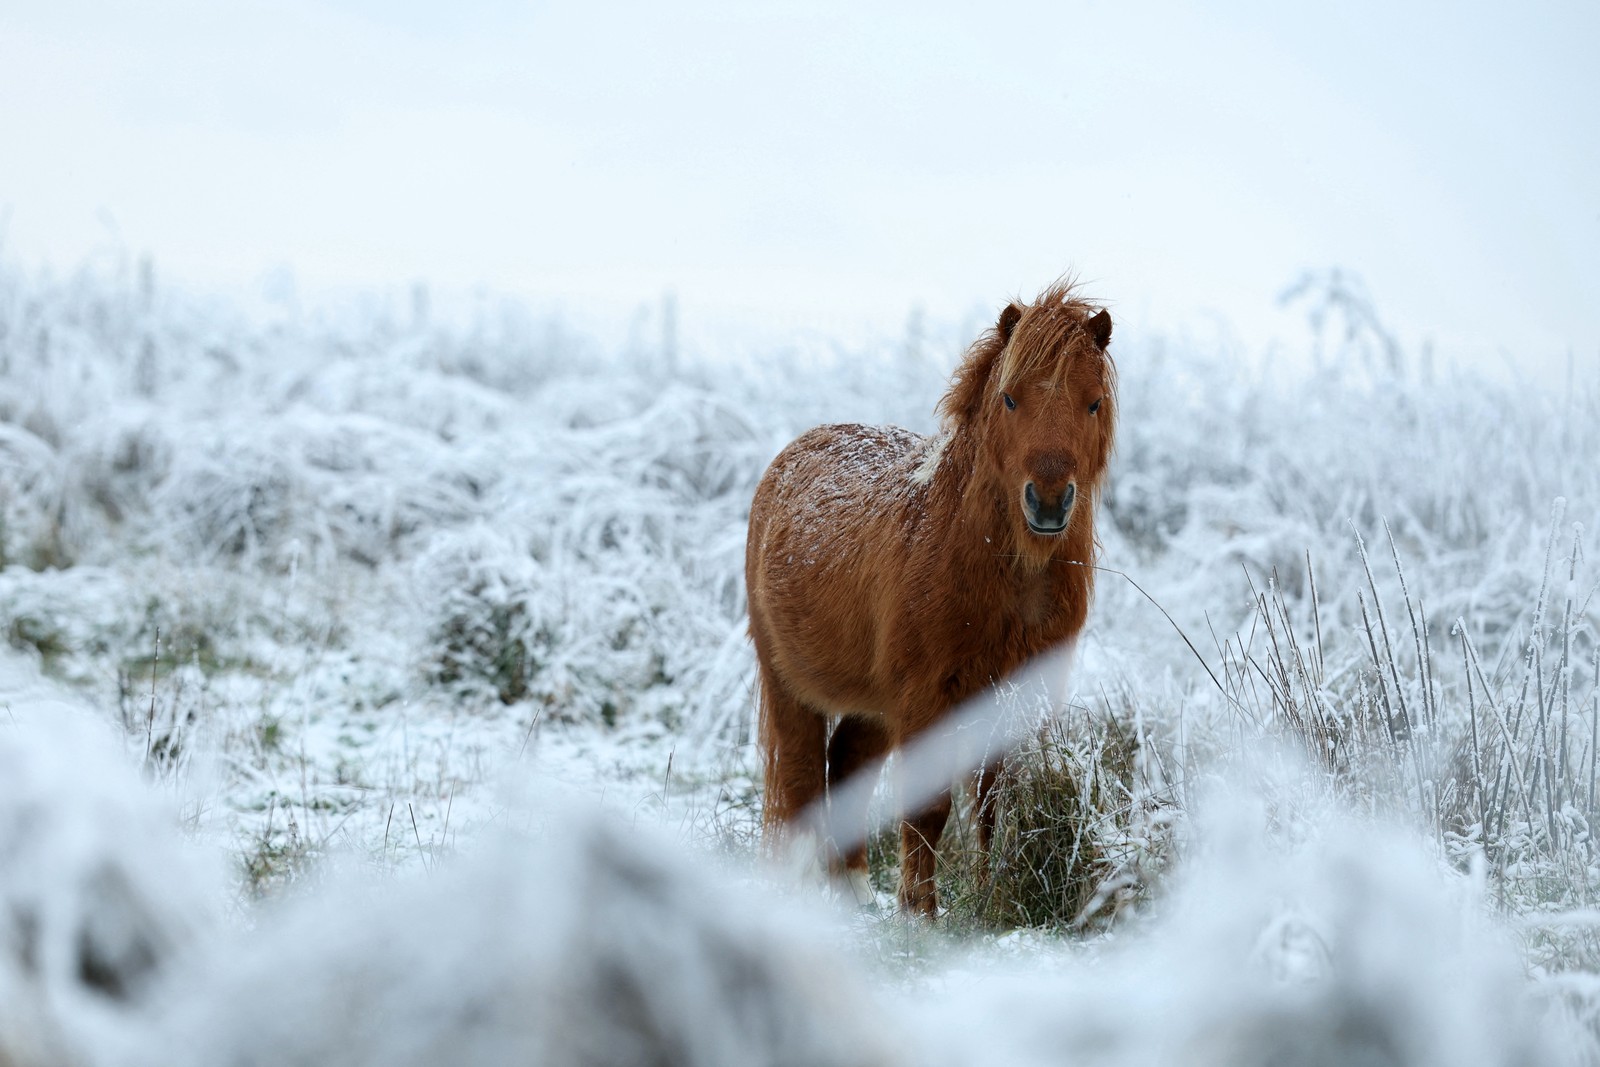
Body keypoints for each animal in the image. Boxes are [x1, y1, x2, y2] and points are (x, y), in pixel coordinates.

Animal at [745, 281, 1116, 916]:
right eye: (1010, 399)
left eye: (1092, 403)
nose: (1047, 502)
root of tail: (791, 455)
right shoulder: (927, 698)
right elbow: (930, 808)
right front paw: (920, 911)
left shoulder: (1011, 696)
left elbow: (995, 803)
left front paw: (992, 898)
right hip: (790, 684)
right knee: (799, 778)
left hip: (873, 703)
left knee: (846, 765)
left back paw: (853, 893)